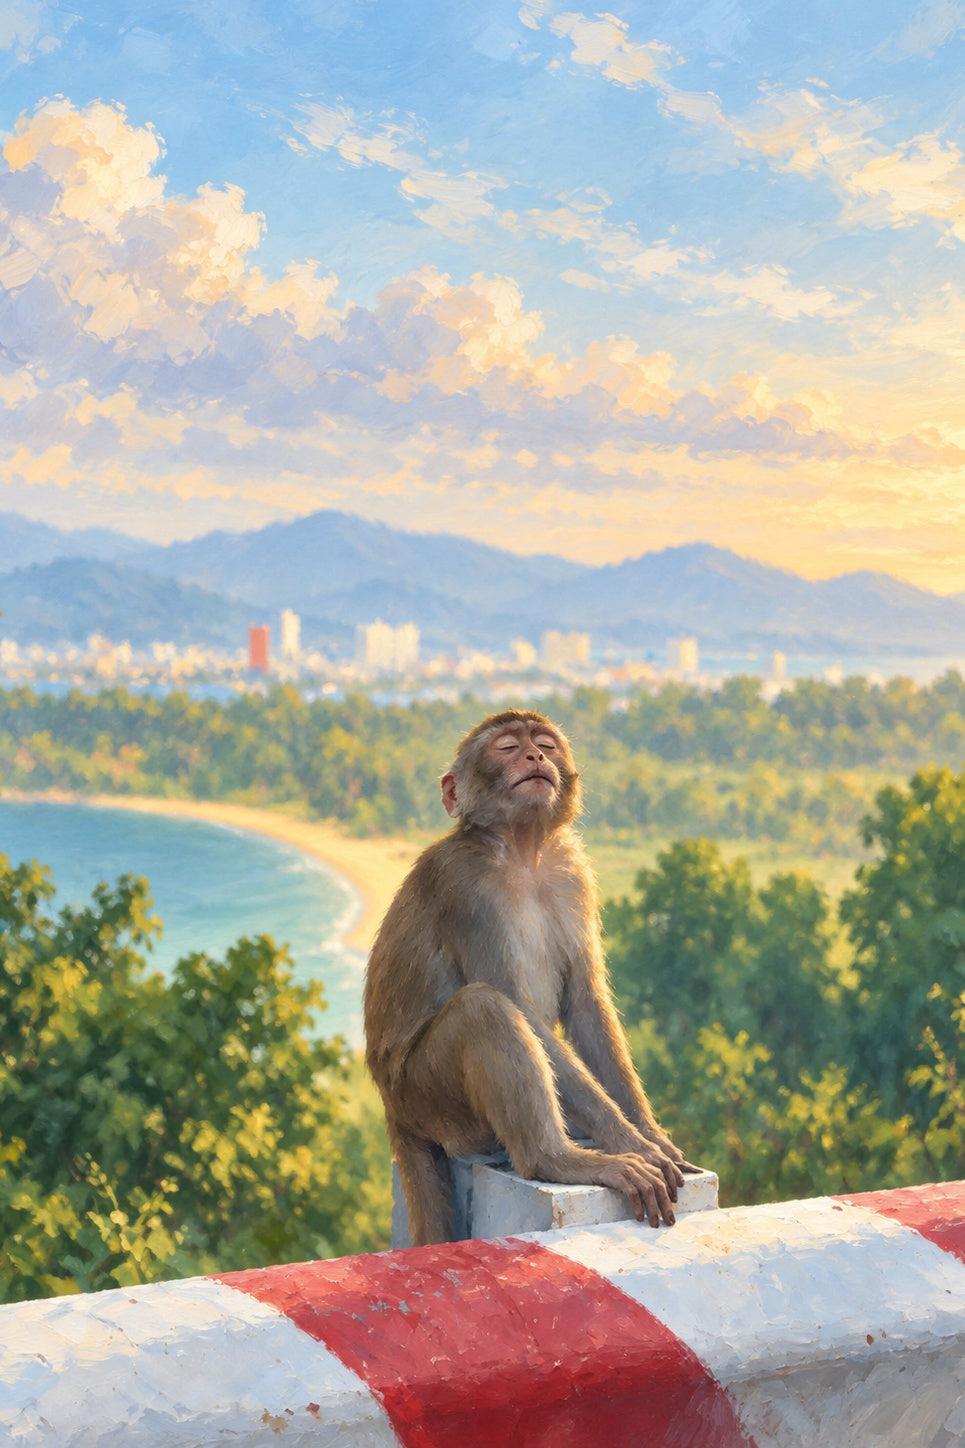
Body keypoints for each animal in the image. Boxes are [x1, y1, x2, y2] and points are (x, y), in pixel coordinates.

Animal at [363, 708, 694, 1246]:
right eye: (505, 747)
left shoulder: (573, 872)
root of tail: (393, 1106)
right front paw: (630, 1141)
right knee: (484, 1009)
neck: (522, 852)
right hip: (428, 1098)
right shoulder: (465, 888)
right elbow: (516, 1003)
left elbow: (586, 1003)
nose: (535, 757)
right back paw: (556, 1159)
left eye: (544, 743)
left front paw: (648, 1132)